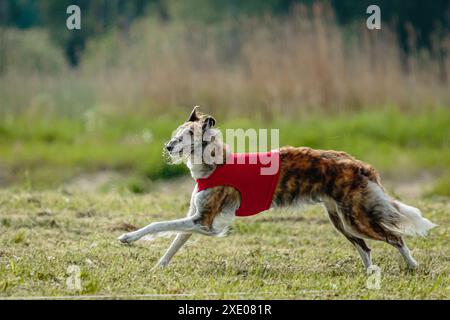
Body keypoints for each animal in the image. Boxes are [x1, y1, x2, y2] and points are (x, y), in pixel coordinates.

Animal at [118, 107, 436, 270]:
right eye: (176, 134)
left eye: (188, 135)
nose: (168, 147)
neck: (215, 164)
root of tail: (359, 163)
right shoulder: (196, 219)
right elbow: (173, 242)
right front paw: (157, 267)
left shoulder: (205, 223)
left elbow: (159, 225)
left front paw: (129, 237)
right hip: (341, 220)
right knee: (366, 246)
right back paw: (370, 273)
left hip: (357, 217)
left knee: (395, 237)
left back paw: (412, 266)